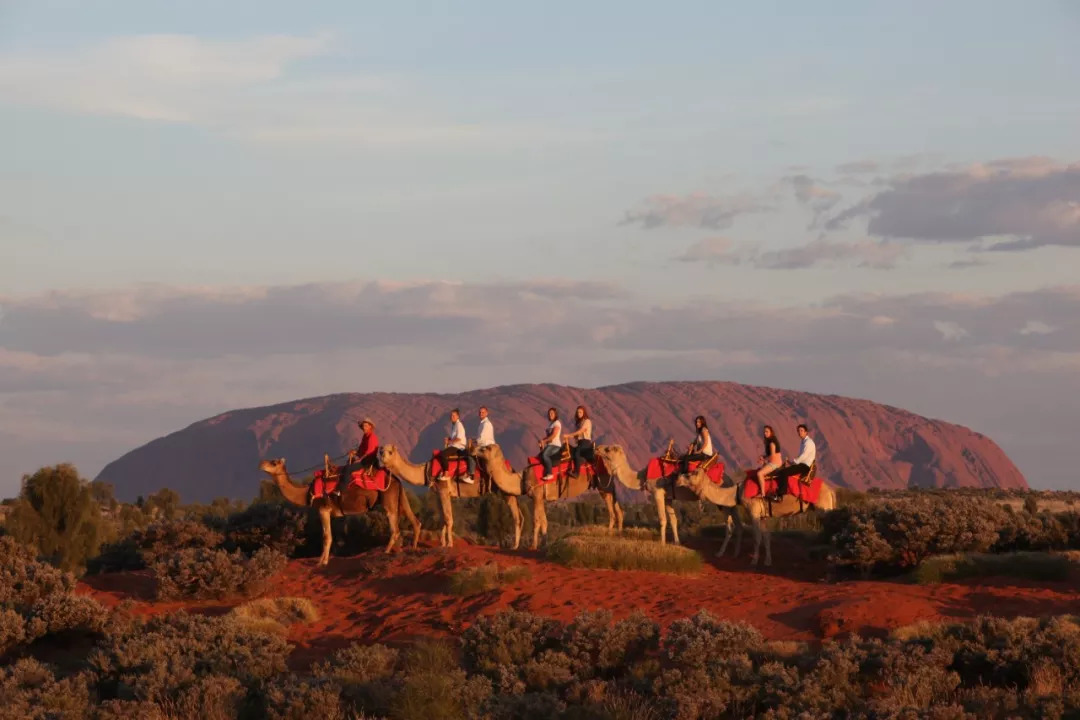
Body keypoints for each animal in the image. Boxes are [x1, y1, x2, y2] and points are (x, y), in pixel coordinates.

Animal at [255, 459, 416, 565]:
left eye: (273, 463)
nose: (261, 463)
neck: (306, 492)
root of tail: (396, 480)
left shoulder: (323, 509)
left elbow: (327, 537)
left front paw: (322, 562)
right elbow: (331, 536)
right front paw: (324, 559)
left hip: (388, 498)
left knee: (395, 527)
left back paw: (387, 551)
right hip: (398, 497)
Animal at [378, 442, 524, 548]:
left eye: (390, 452)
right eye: (381, 451)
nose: (382, 459)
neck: (426, 470)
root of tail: (510, 467)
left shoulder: (443, 489)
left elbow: (448, 518)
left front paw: (449, 544)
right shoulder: (439, 492)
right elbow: (444, 517)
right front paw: (442, 543)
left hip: (504, 491)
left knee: (516, 516)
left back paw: (514, 546)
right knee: (521, 515)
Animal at [475, 444, 626, 552]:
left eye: (487, 448)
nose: (475, 449)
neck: (521, 478)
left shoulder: (536, 495)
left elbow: (536, 520)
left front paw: (533, 546)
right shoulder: (540, 498)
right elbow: (544, 521)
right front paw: (543, 545)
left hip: (603, 484)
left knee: (612, 511)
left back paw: (611, 535)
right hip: (608, 486)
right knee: (618, 509)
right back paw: (618, 535)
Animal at [673, 468, 833, 569]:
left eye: (691, 474)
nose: (677, 478)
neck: (737, 492)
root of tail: (830, 490)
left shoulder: (753, 511)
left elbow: (757, 537)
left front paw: (754, 561)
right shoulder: (762, 516)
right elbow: (766, 537)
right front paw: (768, 561)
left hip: (823, 507)